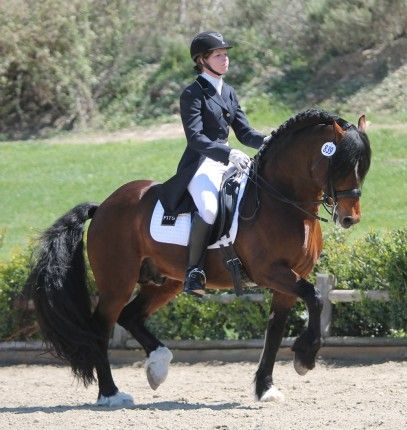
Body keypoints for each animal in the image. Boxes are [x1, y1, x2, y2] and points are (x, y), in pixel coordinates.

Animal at [27, 109, 372, 404]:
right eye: (340, 164)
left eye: (363, 167)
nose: (349, 218)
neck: (281, 201)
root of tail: (103, 207)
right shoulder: (272, 272)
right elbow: (315, 297)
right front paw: (305, 357)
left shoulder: (286, 281)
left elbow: (275, 332)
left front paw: (265, 388)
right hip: (117, 283)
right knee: (100, 328)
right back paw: (111, 394)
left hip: (165, 281)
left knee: (131, 316)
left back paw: (158, 367)